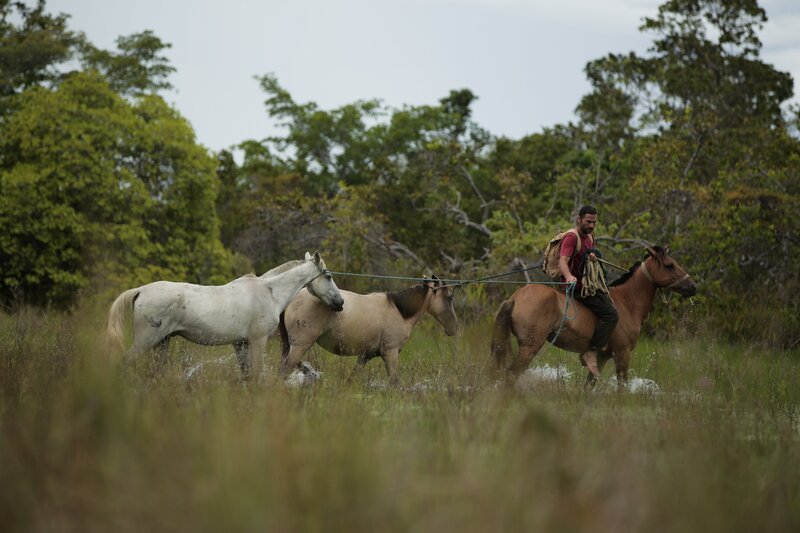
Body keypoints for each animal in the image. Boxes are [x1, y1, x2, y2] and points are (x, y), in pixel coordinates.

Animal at [107, 251, 344, 379]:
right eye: (329, 277)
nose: (340, 303)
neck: (269, 292)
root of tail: (141, 290)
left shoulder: (240, 344)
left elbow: (246, 375)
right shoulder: (257, 341)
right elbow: (256, 374)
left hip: (161, 343)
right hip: (147, 341)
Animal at [279, 276, 459, 386]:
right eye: (449, 297)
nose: (455, 328)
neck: (399, 311)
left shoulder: (365, 356)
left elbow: (351, 379)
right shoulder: (390, 353)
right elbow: (395, 382)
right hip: (300, 346)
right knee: (285, 369)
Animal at [489, 245, 697, 388]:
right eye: (670, 265)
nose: (692, 286)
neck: (627, 303)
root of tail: (515, 298)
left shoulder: (602, 357)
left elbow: (589, 385)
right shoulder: (622, 354)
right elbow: (621, 386)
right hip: (529, 348)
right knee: (510, 375)